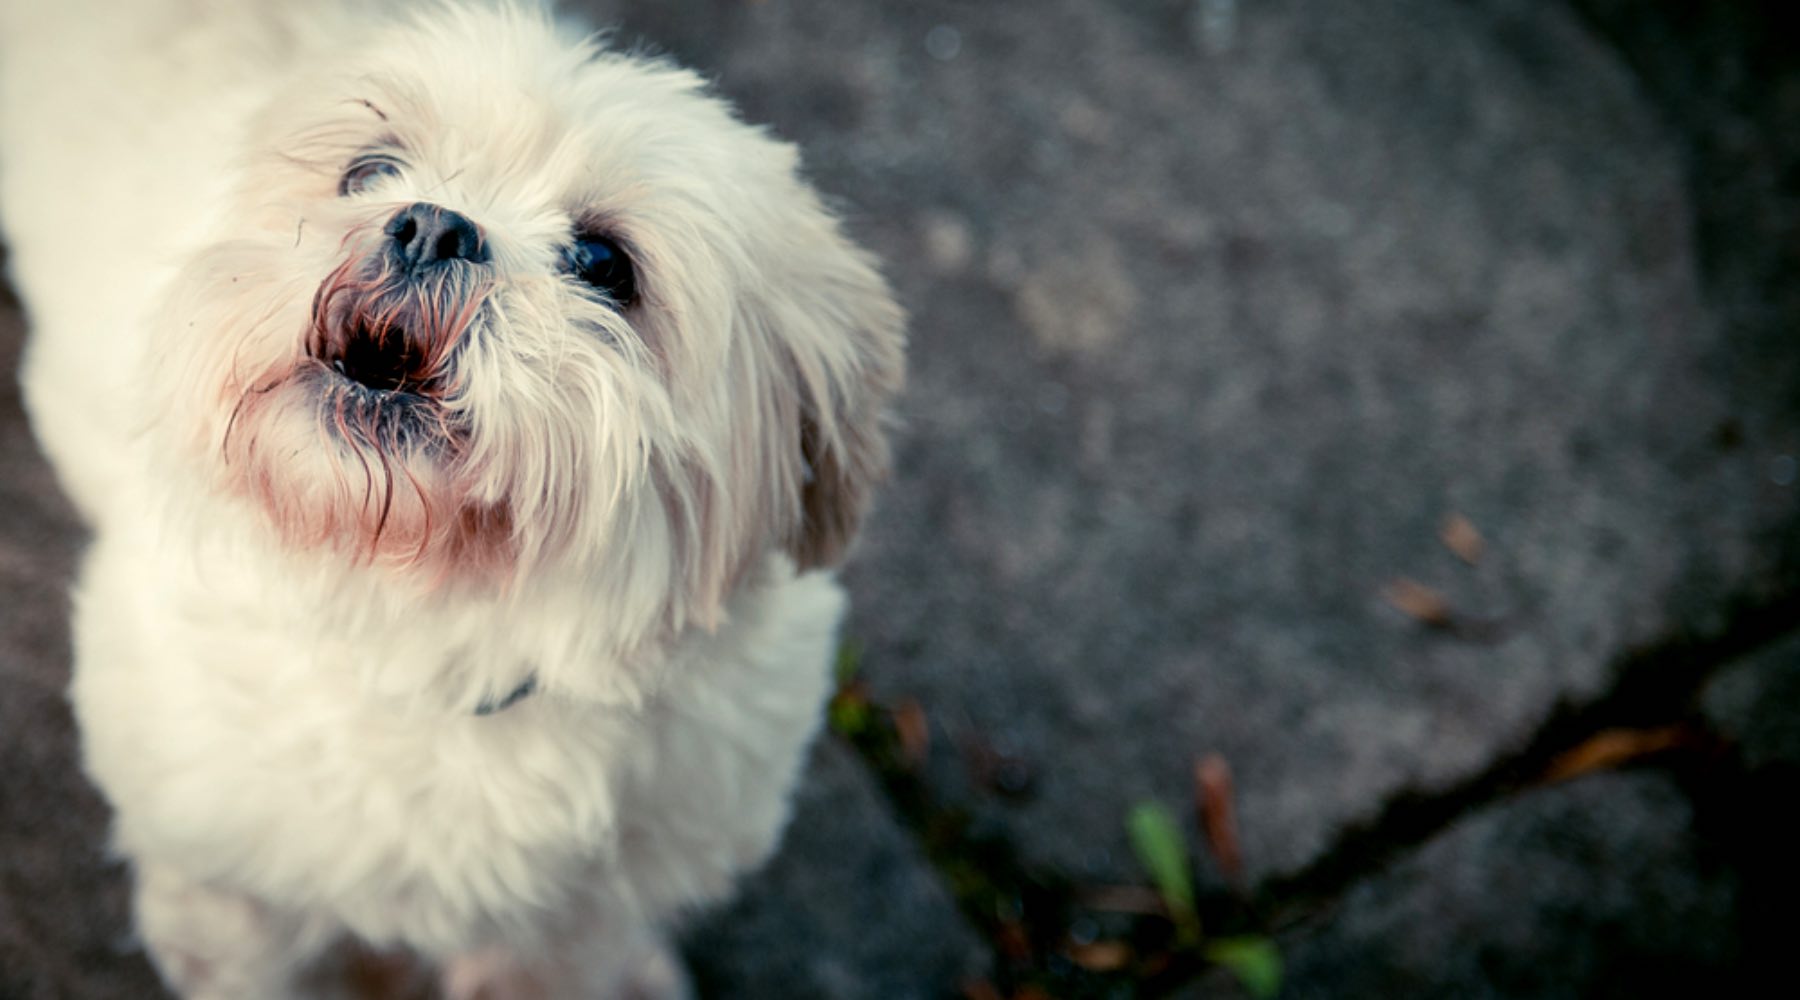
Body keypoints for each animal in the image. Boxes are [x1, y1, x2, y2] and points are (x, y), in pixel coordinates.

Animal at [0, 1, 900, 992]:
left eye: (604, 263)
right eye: (369, 170)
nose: (431, 227)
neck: (428, 630)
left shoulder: (569, 930)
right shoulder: (224, 898)